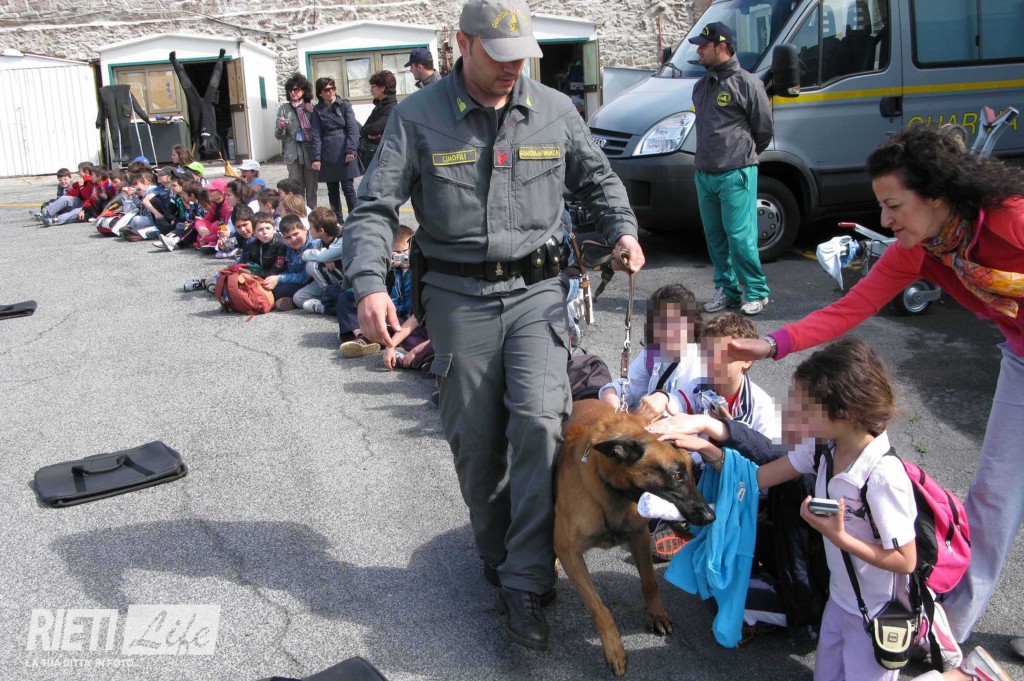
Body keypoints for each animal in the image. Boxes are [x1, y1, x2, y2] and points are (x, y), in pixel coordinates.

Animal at [554, 399, 716, 676]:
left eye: (693, 472)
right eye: (676, 475)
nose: (710, 516)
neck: (609, 488)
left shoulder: (639, 537)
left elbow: (650, 582)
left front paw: (656, 615)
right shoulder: (569, 553)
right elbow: (600, 608)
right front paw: (614, 650)